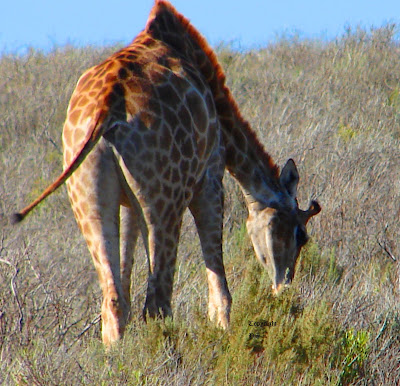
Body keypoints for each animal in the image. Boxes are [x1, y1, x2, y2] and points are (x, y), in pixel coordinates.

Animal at [12, 0, 320, 346]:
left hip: (87, 193)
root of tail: (108, 104)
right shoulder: (211, 179)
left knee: (114, 299)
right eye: (301, 235)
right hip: (166, 200)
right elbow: (220, 294)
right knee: (157, 303)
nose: (284, 290)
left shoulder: (128, 203)